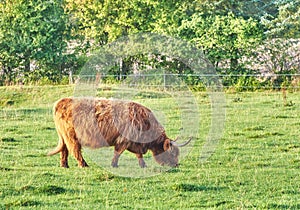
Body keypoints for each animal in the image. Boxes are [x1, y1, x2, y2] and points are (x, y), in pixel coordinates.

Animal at [48, 97, 191, 168]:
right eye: (172, 153)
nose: (176, 165)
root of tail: (61, 101)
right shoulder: (124, 140)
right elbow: (118, 152)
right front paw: (114, 165)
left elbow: (138, 154)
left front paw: (143, 165)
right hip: (71, 136)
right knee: (75, 150)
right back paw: (83, 165)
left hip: (64, 136)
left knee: (64, 150)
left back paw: (64, 165)